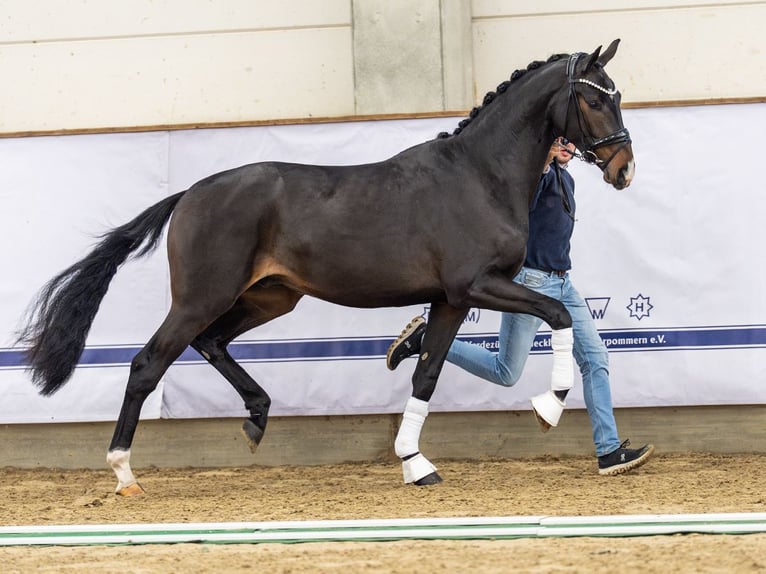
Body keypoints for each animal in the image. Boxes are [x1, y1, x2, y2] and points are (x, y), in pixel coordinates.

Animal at [18, 39, 634, 495]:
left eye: (618, 95)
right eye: (595, 100)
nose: (624, 168)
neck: (478, 176)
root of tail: (190, 193)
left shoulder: (450, 299)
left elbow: (427, 373)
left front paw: (415, 463)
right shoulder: (476, 285)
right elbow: (557, 313)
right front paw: (547, 408)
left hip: (269, 297)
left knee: (211, 343)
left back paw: (256, 418)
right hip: (200, 297)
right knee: (149, 363)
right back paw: (124, 472)